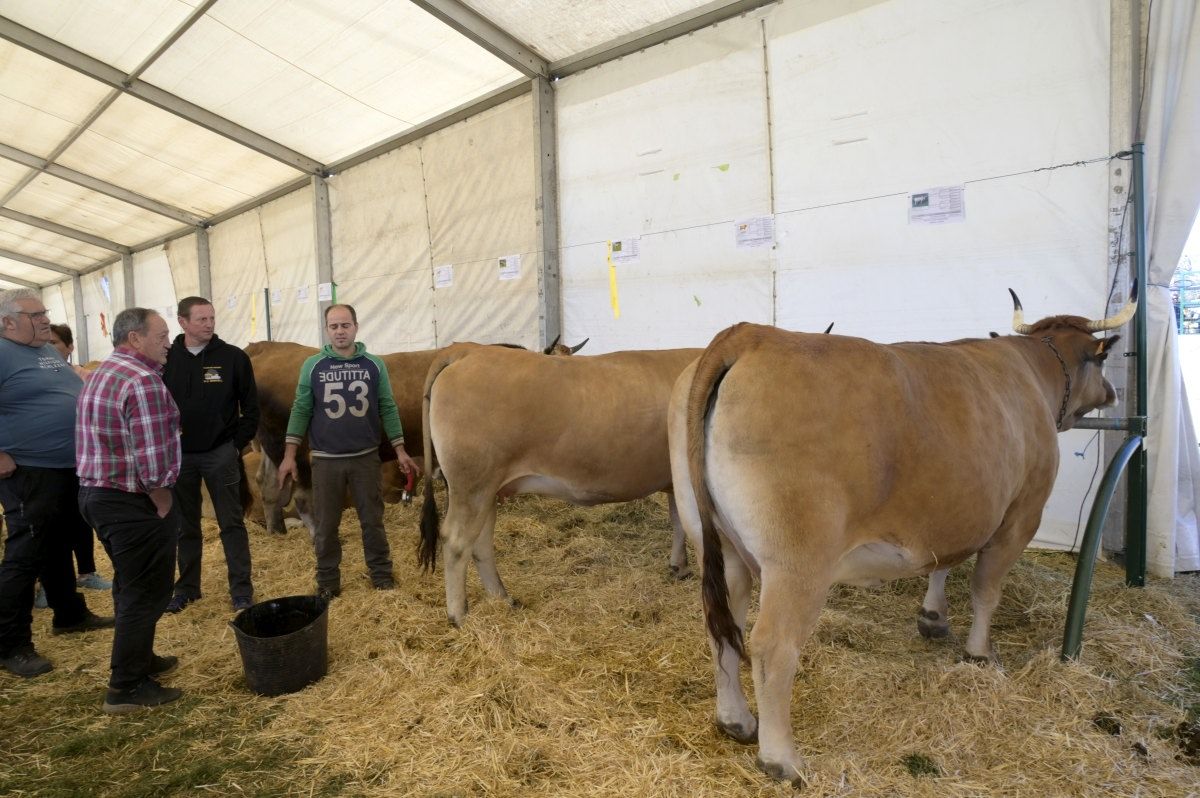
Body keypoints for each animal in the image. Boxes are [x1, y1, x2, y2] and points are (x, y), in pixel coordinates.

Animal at [420, 343, 700, 624]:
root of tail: (468, 349)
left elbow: (679, 520)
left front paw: (679, 566)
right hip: (473, 486)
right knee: (456, 542)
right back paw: (458, 615)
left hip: (486, 491)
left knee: (480, 544)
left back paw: (503, 598)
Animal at [672, 284, 1137, 777]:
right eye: (1103, 360)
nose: (1112, 393)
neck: (1031, 371)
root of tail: (752, 335)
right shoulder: (1020, 515)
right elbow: (986, 589)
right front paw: (980, 653)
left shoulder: (954, 511)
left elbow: (943, 561)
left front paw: (933, 617)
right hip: (797, 563)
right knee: (771, 645)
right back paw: (782, 759)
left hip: (719, 544)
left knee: (723, 625)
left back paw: (736, 720)